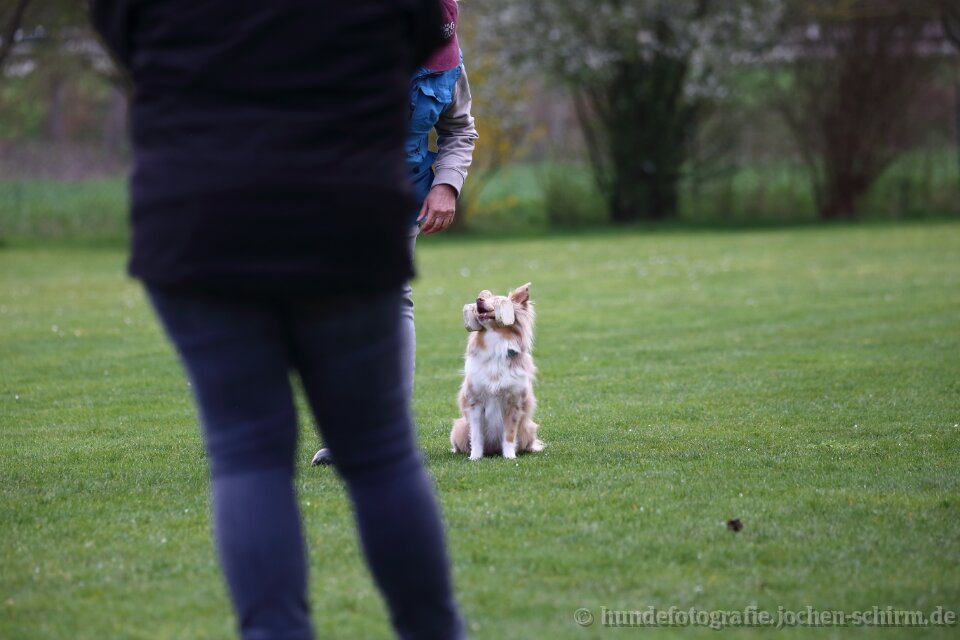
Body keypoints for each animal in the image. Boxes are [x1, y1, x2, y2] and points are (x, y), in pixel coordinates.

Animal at [451, 283, 544, 460]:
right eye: (483, 298)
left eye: (497, 301)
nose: (478, 299)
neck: (495, 342)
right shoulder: (475, 402)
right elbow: (476, 436)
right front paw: (475, 457)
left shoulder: (514, 403)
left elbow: (509, 435)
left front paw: (509, 457)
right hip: (459, 428)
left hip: (528, 428)